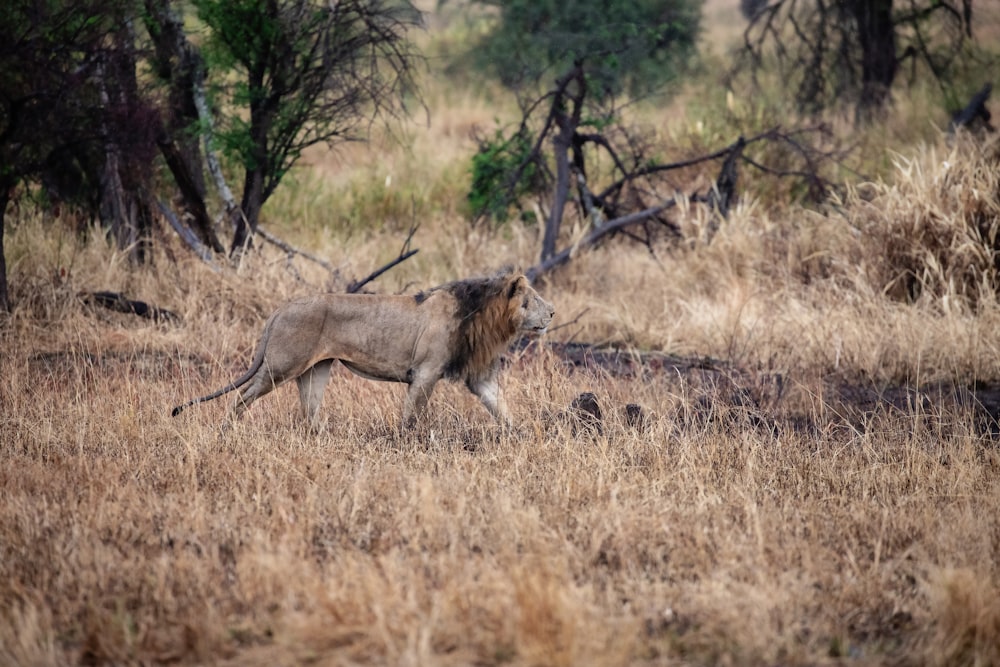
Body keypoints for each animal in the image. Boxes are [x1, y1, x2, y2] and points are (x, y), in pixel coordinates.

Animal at [171, 272, 556, 434]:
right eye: (532, 299)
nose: (553, 312)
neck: (484, 318)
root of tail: (281, 309)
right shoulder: (426, 372)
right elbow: (412, 415)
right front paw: (405, 442)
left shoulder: (479, 378)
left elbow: (502, 408)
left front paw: (524, 436)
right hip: (280, 367)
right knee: (242, 397)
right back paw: (225, 431)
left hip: (316, 369)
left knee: (309, 410)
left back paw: (324, 438)